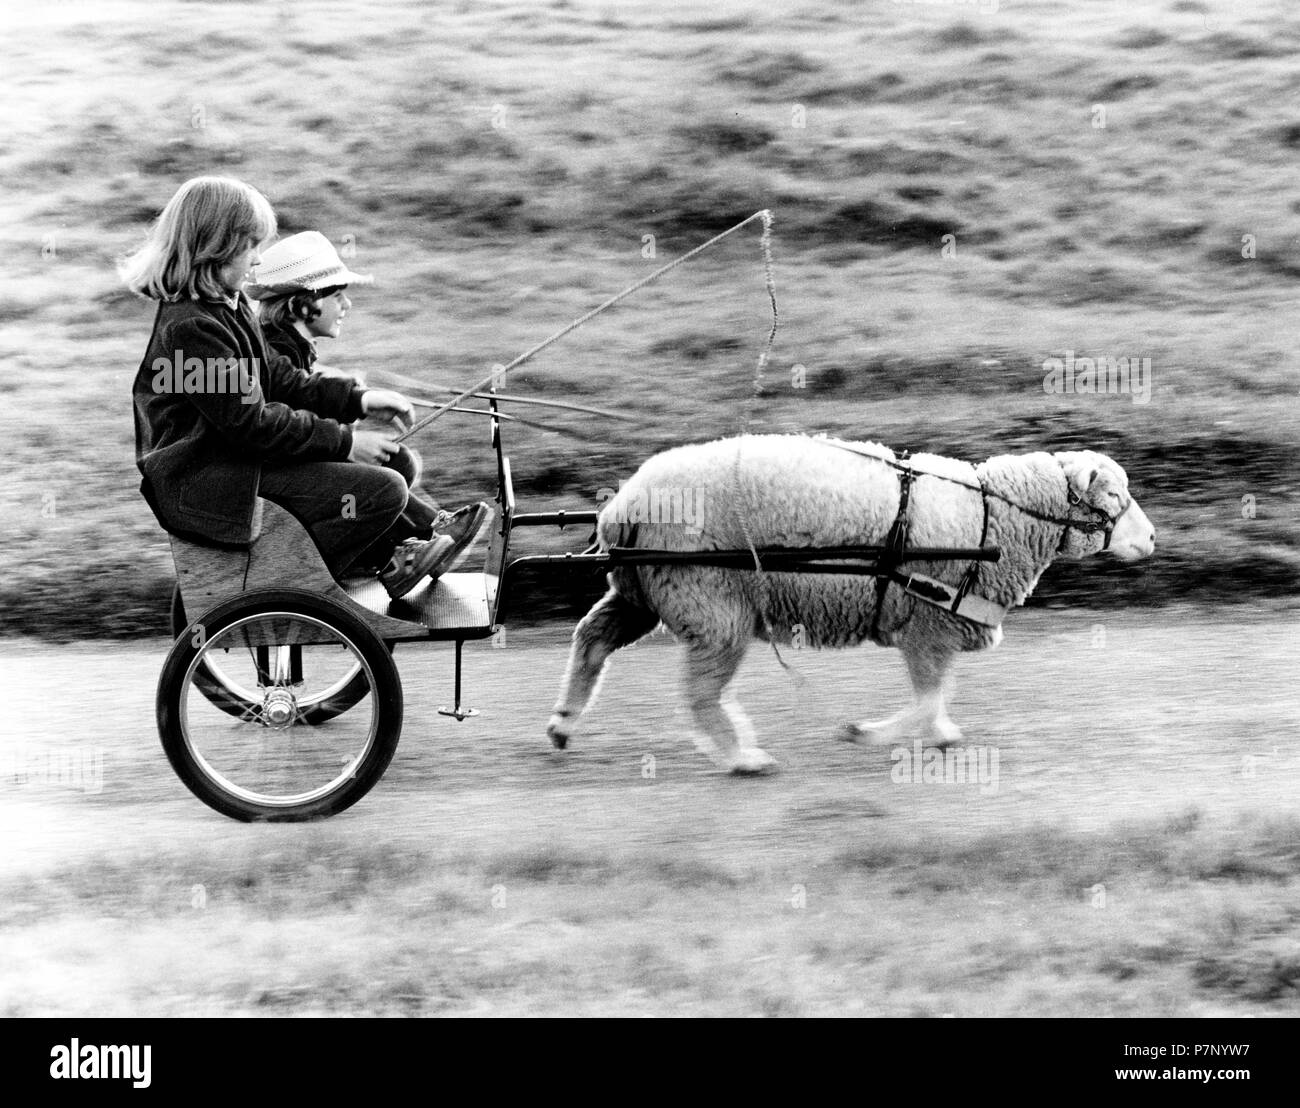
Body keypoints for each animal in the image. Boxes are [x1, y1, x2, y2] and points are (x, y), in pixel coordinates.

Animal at [543, 431, 1154, 769]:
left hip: (645, 591)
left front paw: (937, 735)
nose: (1152, 539)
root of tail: (622, 507)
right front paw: (873, 732)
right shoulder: (929, 625)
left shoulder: (932, 631)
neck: (994, 517)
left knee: (592, 638)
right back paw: (741, 759)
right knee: (699, 692)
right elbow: (928, 698)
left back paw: (564, 722)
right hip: (711, 601)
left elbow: (934, 697)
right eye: (1114, 495)